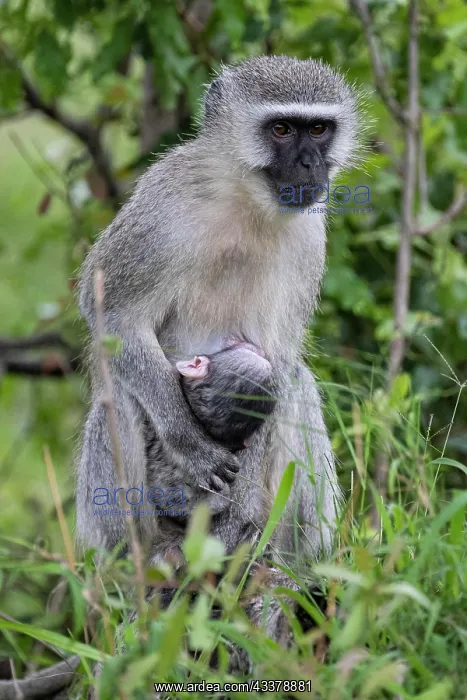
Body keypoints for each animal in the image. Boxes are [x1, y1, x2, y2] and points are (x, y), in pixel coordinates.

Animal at [77, 55, 362, 571]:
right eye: (282, 129)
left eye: (318, 129)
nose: (310, 165)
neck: (247, 199)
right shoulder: (163, 207)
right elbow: (114, 314)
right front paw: (189, 444)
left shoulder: (310, 238)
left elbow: (277, 362)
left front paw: (239, 503)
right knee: (120, 392)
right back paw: (137, 558)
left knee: (295, 384)